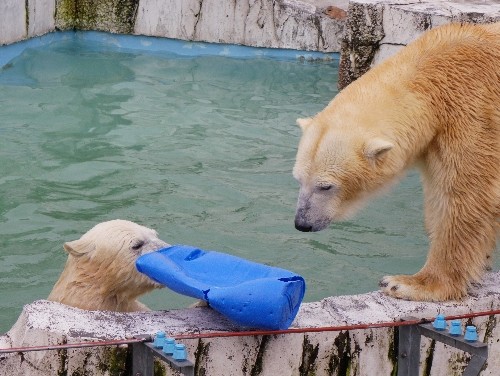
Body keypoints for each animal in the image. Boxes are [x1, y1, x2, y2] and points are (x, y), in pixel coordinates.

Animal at [294, 22, 498, 302]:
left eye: (326, 186)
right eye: (298, 179)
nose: (302, 223)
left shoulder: (474, 114)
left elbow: (465, 198)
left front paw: (409, 284)